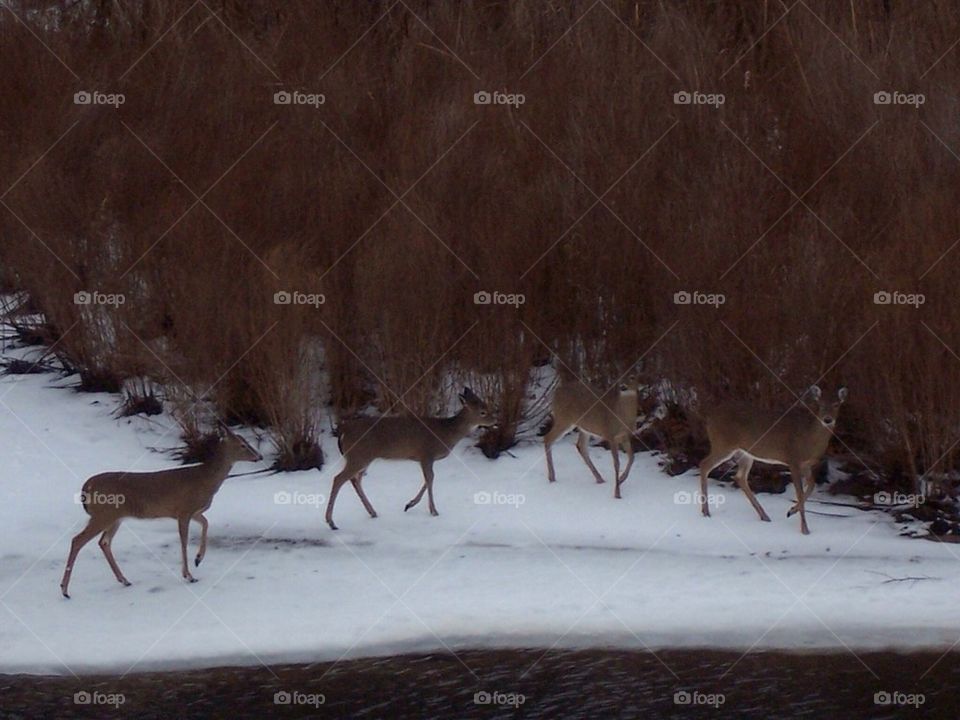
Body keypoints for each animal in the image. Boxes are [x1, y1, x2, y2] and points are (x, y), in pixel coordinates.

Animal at [60, 429, 262, 598]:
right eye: (242, 444)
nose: (259, 456)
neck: (205, 480)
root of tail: (86, 486)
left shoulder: (193, 511)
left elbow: (206, 523)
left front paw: (198, 559)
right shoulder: (183, 510)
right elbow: (184, 540)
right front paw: (189, 575)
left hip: (115, 517)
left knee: (104, 542)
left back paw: (124, 580)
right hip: (103, 514)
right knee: (78, 540)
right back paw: (65, 590)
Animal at [325, 387, 495, 530]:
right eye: (483, 412)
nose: (495, 420)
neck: (447, 432)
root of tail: (343, 431)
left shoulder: (424, 458)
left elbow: (428, 479)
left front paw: (409, 504)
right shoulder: (426, 453)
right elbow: (430, 478)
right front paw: (433, 511)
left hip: (363, 457)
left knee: (355, 479)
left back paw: (372, 512)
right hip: (359, 455)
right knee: (339, 479)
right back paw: (331, 522)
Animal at [543, 370, 640, 499]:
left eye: (632, 377)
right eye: (619, 376)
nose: (623, 386)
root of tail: (556, 392)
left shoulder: (626, 436)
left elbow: (632, 457)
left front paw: (621, 479)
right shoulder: (610, 434)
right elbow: (617, 463)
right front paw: (617, 493)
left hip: (583, 427)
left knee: (580, 446)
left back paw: (600, 479)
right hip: (564, 418)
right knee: (547, 438)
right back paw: (552, 477)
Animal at [698, 385, 848, 535]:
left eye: (836, 404)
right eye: (820, 404)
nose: (827, 419)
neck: (809, 438)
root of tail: (709, 417)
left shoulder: (806, 464)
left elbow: (811, 485)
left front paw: (791, 511)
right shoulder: (793, 459)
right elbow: (799, 493)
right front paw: (804, 529)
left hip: (745, 453)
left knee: (739, 477)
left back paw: (764, 516)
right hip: (723, 444)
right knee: (704, 464)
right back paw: (706, 512)